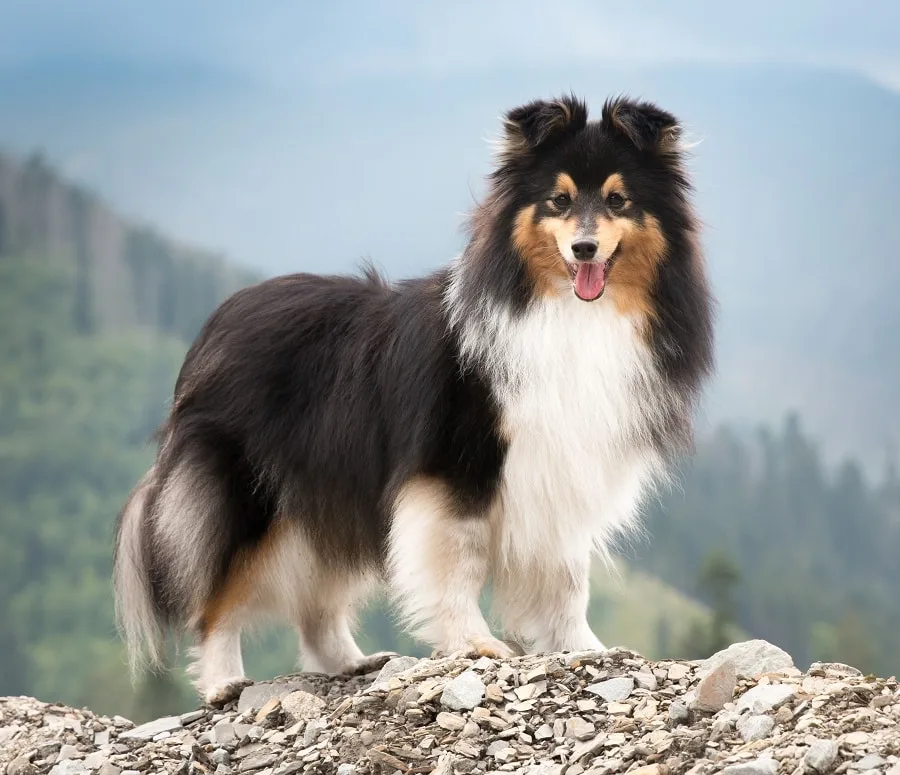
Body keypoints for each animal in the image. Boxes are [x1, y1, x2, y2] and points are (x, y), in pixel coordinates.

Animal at [114, 92, 716, 704]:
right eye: (559, 199)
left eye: (618, 199)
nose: (585, 247)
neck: (566, 313)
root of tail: (216, 325)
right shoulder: (456, 466)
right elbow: (460, 563)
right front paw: (476, 644)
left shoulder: (563, 470)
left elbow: (568, 578)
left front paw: (586, 649)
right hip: (251, 495)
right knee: (216, 594)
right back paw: (223, 682)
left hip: (330, 489)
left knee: (317, 598)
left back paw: (351, 662)